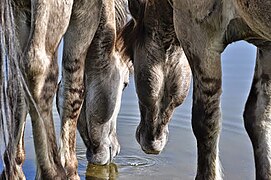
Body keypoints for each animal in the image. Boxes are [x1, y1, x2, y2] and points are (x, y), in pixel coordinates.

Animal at [0, 0, 131, 179]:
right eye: (125, 84)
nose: (116, 149)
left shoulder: (19, 11)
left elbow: (18, 91)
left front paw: (15, 168)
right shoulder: (86, 11)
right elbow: (73, 88)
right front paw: (70, 169)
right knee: (39, 69)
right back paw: (55, 172)